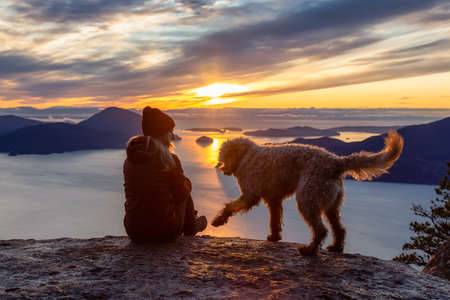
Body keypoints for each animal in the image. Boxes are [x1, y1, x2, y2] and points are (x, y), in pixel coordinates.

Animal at [213, 131, 402, 255]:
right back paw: (336, 247)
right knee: (339, 229)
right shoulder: (274, 199)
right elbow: (275, 220)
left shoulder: (250, 195)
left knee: (321, 230)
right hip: (331, 205)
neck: (246, 155)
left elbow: (231, 206)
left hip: (307, 200)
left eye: (223, 156)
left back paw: (310, 250)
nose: (221, 168)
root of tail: (336, 162)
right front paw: (274, 236)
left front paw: (219, 220)